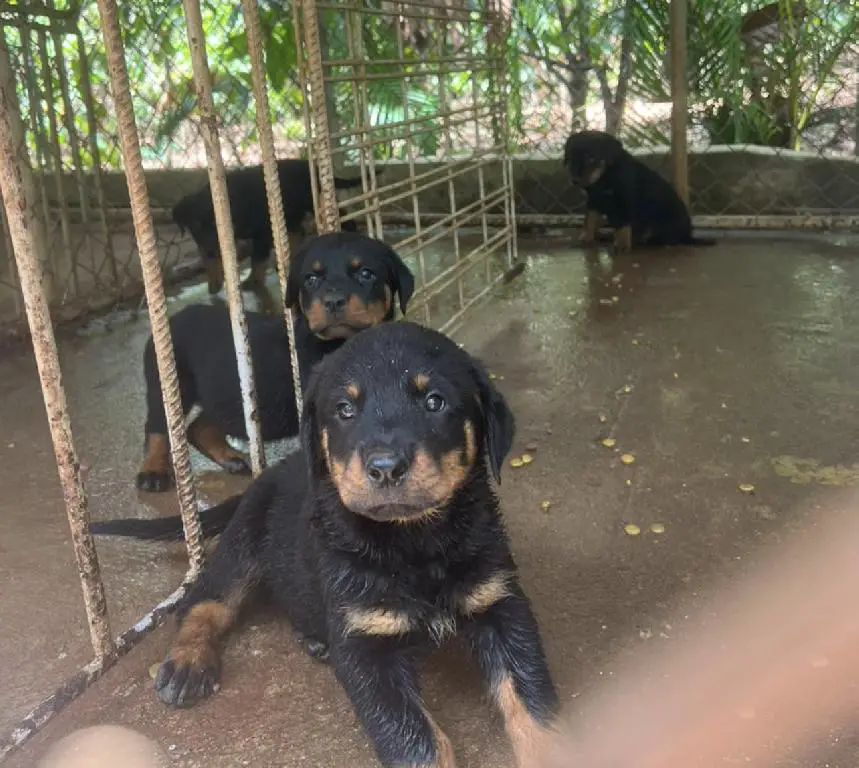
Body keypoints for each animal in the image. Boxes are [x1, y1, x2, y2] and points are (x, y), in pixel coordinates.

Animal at [89, 322, 556, 768]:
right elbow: (417, 742)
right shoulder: (363, 648)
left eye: (434, 402)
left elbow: (533, 705)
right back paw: (188, 662)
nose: (385, 467)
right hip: (243, 544)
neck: (414, 541)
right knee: (204, 600)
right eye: (345, 410)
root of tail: (269, 474)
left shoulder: (501, 603)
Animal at [137, 231, 414, 492]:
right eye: (311, 280)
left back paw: (231, 457)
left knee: (199, 426)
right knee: (157, 427)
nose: (333, 301)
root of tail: (172, 320)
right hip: (171, 384)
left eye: (366, 274)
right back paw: (152, 472)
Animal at [173, 158, 374, 294]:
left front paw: (251, 282)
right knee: (297, 232)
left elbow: (257, 258)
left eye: (216, 222)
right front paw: (214, 283)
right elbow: (211, 262)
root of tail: (314, 168)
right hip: (291, 212)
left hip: (313, 203)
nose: (211, 247)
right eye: (196, 224)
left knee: (346, 219)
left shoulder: (262, 233)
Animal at [568, 130, 716, 252]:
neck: (604, 177)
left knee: (664, 238)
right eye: (569, 159)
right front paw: (587, 237)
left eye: (591, 158)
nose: (574, 180)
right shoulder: (594, 200)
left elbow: (624, 224)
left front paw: (622, 244)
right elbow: (590, 219)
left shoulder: (625, 200)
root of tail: (687, 236)